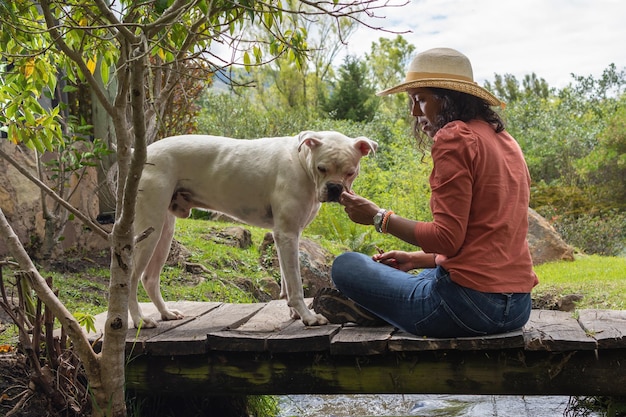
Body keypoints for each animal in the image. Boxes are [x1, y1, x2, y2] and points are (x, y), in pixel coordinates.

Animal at [128, 132, 376, 326]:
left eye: (350, 172)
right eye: (321, 168)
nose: (334, 188)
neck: (301, 162)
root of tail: (139, 153)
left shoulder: (285, 237)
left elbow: (286, 281)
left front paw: (295, 313)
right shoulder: (288, 235)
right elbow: (296, 284)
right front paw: (308, 317)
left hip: (164, 232)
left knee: (149, 278)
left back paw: (166, 313)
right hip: (149, 230)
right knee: (129, 279)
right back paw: (140, 320)